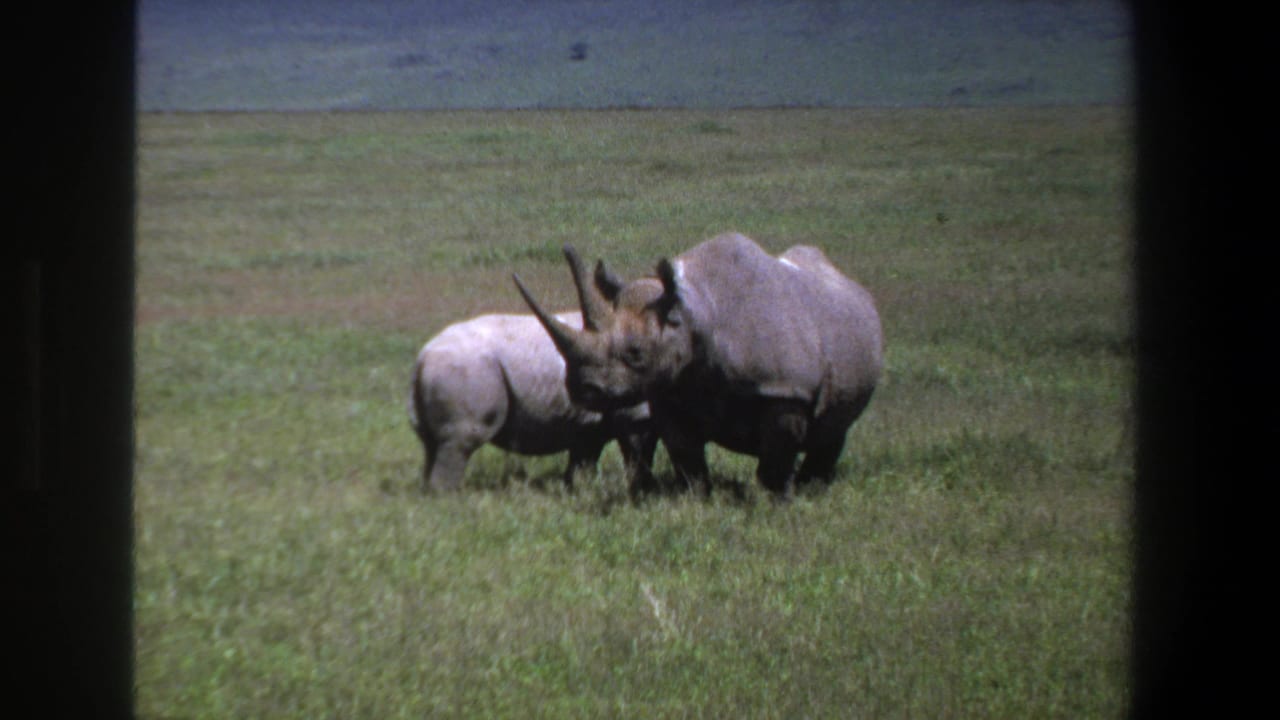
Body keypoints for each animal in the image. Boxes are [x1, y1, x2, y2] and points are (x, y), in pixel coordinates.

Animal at [408, 312, 657, 494]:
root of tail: (422, 358)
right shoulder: (632, 414)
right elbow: (638, 452)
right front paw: (642, 489)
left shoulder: (590, 426)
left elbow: (583, 462)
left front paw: (576, 491)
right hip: (467, 369)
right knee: (460, 442)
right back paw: (450, 500)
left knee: (432, 444)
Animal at [514, 232, 883, 500]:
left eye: (635, 353)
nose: (581, 389)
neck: (696, 314)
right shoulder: (672, 390)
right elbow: (685, 453)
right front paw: (697, 499)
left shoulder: (786, 389)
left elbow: (776, 455)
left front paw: (774, 501)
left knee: (835, 427)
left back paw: (812, 488)